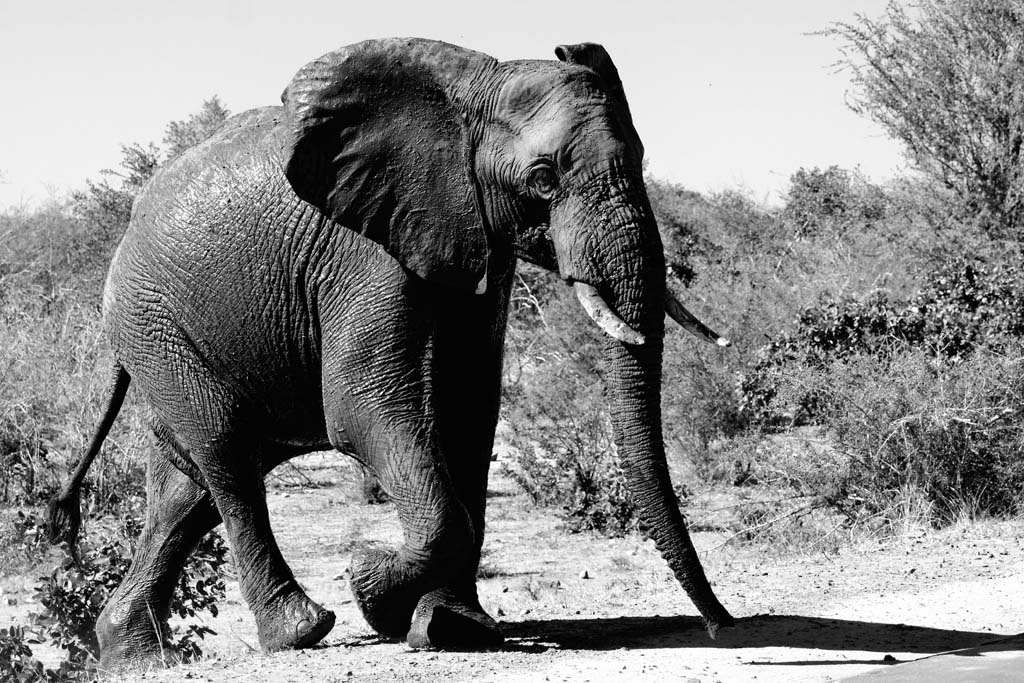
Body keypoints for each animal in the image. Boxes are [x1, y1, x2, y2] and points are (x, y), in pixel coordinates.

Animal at [46, 37, 734, 667]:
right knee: (226, 456)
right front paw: (372, 586)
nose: (720, 627)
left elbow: (468, 410)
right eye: (543, 180)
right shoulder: (364, 251)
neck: (471, 91)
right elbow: (363, 411)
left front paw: (454, 627)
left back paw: (133, 656)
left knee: (184, 494)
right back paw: (300, 630)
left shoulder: (475, 242)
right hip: (152, 322)